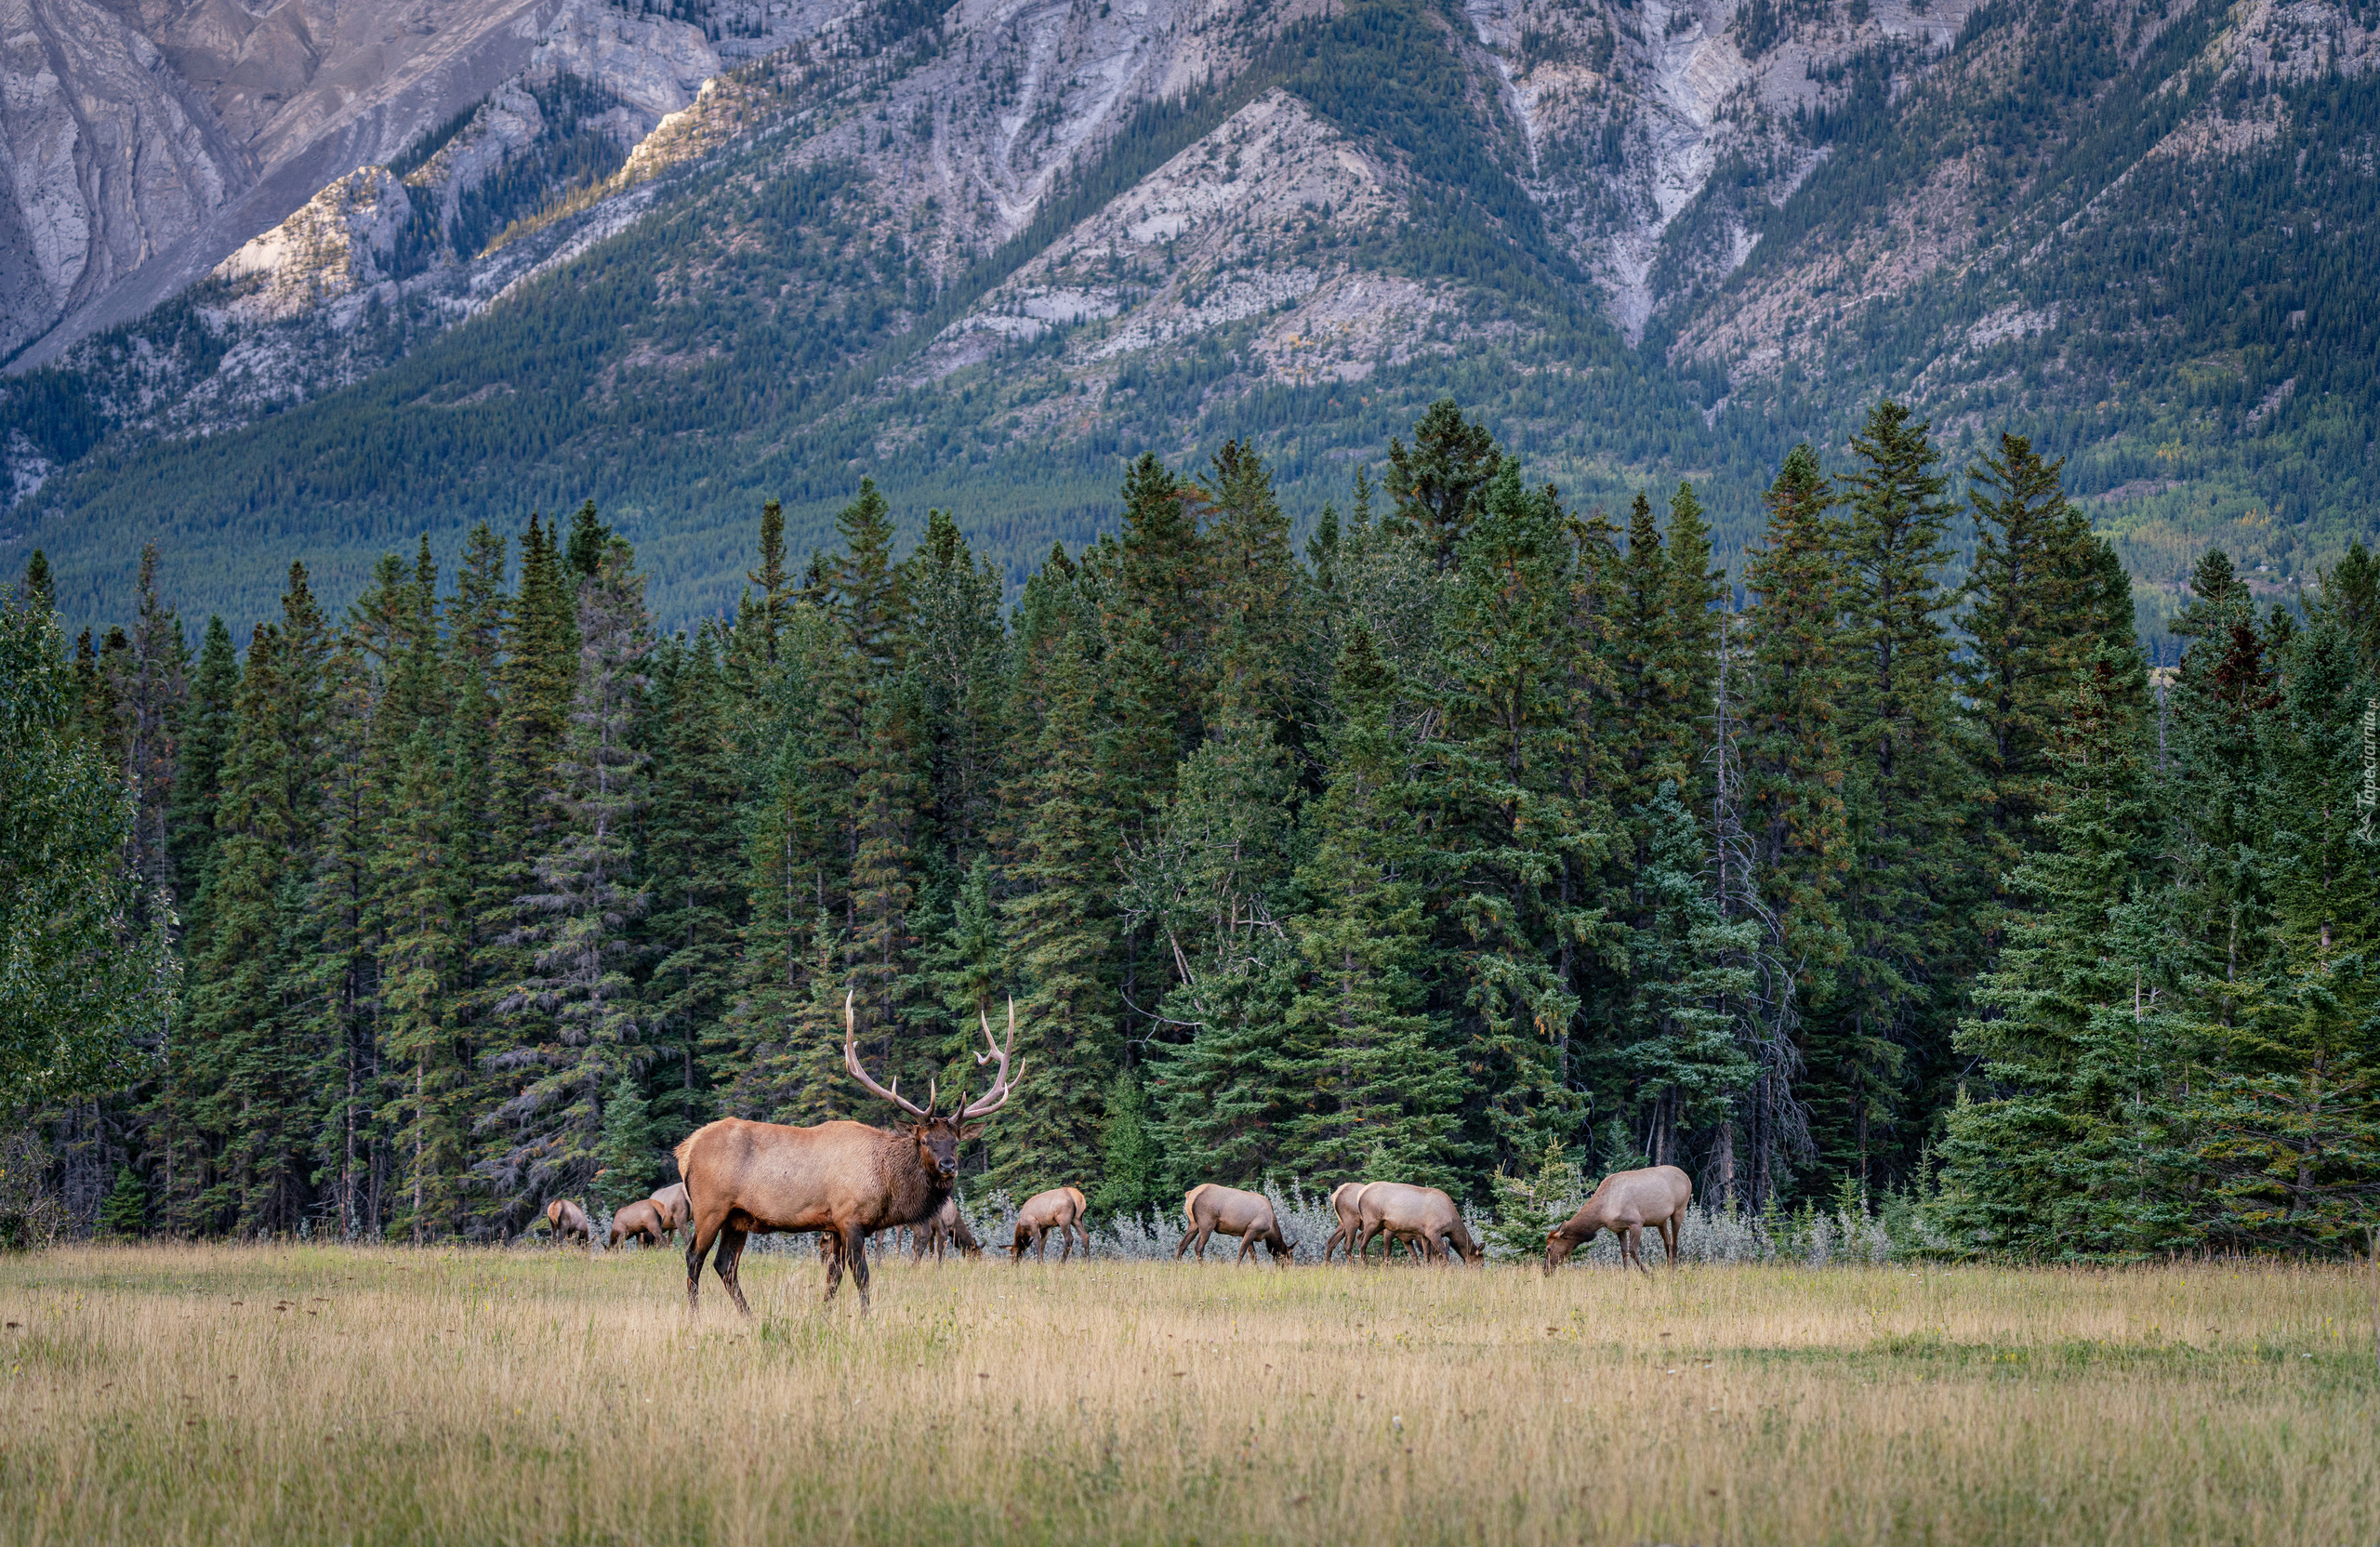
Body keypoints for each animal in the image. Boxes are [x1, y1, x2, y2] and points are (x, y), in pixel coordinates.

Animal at [676, 980, 1018, 1303]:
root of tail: (686, 1149)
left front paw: (824, 1314)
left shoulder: (834, 1225)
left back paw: (749, 1315)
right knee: (694, 1257)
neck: (887, 1183)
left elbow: (833, 1278)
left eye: (956, 1141)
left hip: (738, 1217)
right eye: (923, 1140)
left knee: (725, 1265)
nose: (948, 1166)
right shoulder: (850, 1217)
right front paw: (865, 1317)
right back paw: (695, 1314)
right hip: (710, 1207)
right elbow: (861, 1276)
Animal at [1352, 1180, 1475, 1265]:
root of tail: (1360, 1194)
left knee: (1360, 1238)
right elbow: (1445, 1254)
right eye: (1478, 1257)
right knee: (1362, 1242)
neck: (1451, 1222)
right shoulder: (1433, 1232)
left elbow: (1425, 1255)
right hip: (1373, 1222)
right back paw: (1364, 1265)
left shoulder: (1423, 1234)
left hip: (1377, 1225)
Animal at [1541, 1161, 1694, 1276]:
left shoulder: (1636, 1222)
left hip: (1679, 1210)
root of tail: (1687, 1177)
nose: (1545, 1270)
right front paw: (1626, 1276)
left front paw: (1649, 1275)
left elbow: (1632, 1251)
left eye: (1548, 1248)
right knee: (1667, 1243)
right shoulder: (1619, 1228)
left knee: (1675, 1243)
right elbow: (1624, 1253)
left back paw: (1673, 1272)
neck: (1602, 1212)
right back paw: (1669, 1269)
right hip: (1661, 1221)